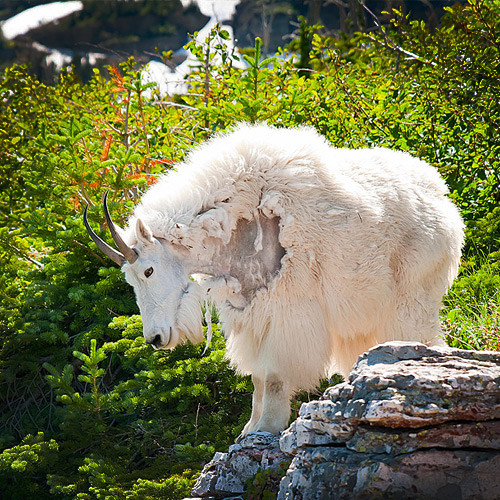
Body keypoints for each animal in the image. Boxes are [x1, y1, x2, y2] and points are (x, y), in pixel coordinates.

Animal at [85, 123, 464, 436]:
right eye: (132, 281)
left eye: (148, 270)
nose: (155, 338)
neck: (237, 219)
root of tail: (444, 202)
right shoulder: (250, 311)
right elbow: (257, 376)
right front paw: (248, 430)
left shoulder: (287, 309)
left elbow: (276, 376)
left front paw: (268, 427)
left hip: (412, 296)